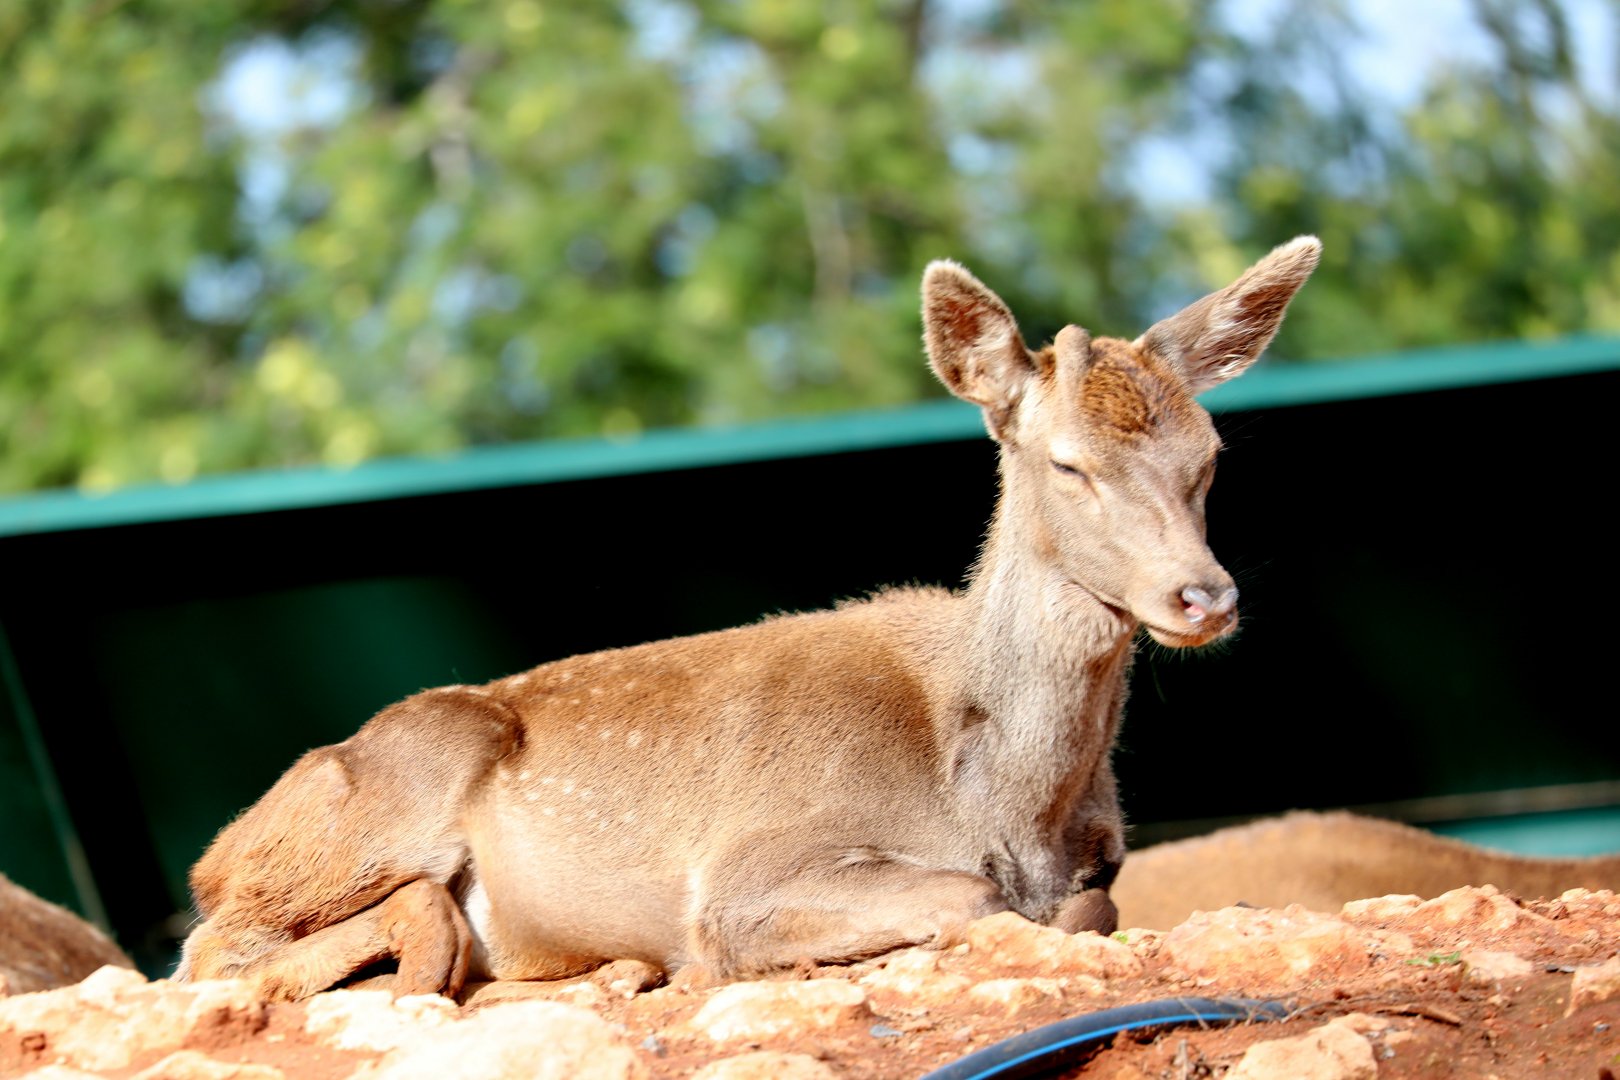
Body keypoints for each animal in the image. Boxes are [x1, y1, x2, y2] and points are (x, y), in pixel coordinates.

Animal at [176, 237, 1322, 1001]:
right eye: (1067, 464)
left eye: (1211, 456)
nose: (1204, 594)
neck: (1007, 805)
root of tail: (217, 848)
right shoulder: (747, 876)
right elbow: (968, 900)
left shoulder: (1102, 866)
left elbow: (1094, 908)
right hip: (368, 810)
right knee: (212, 953)